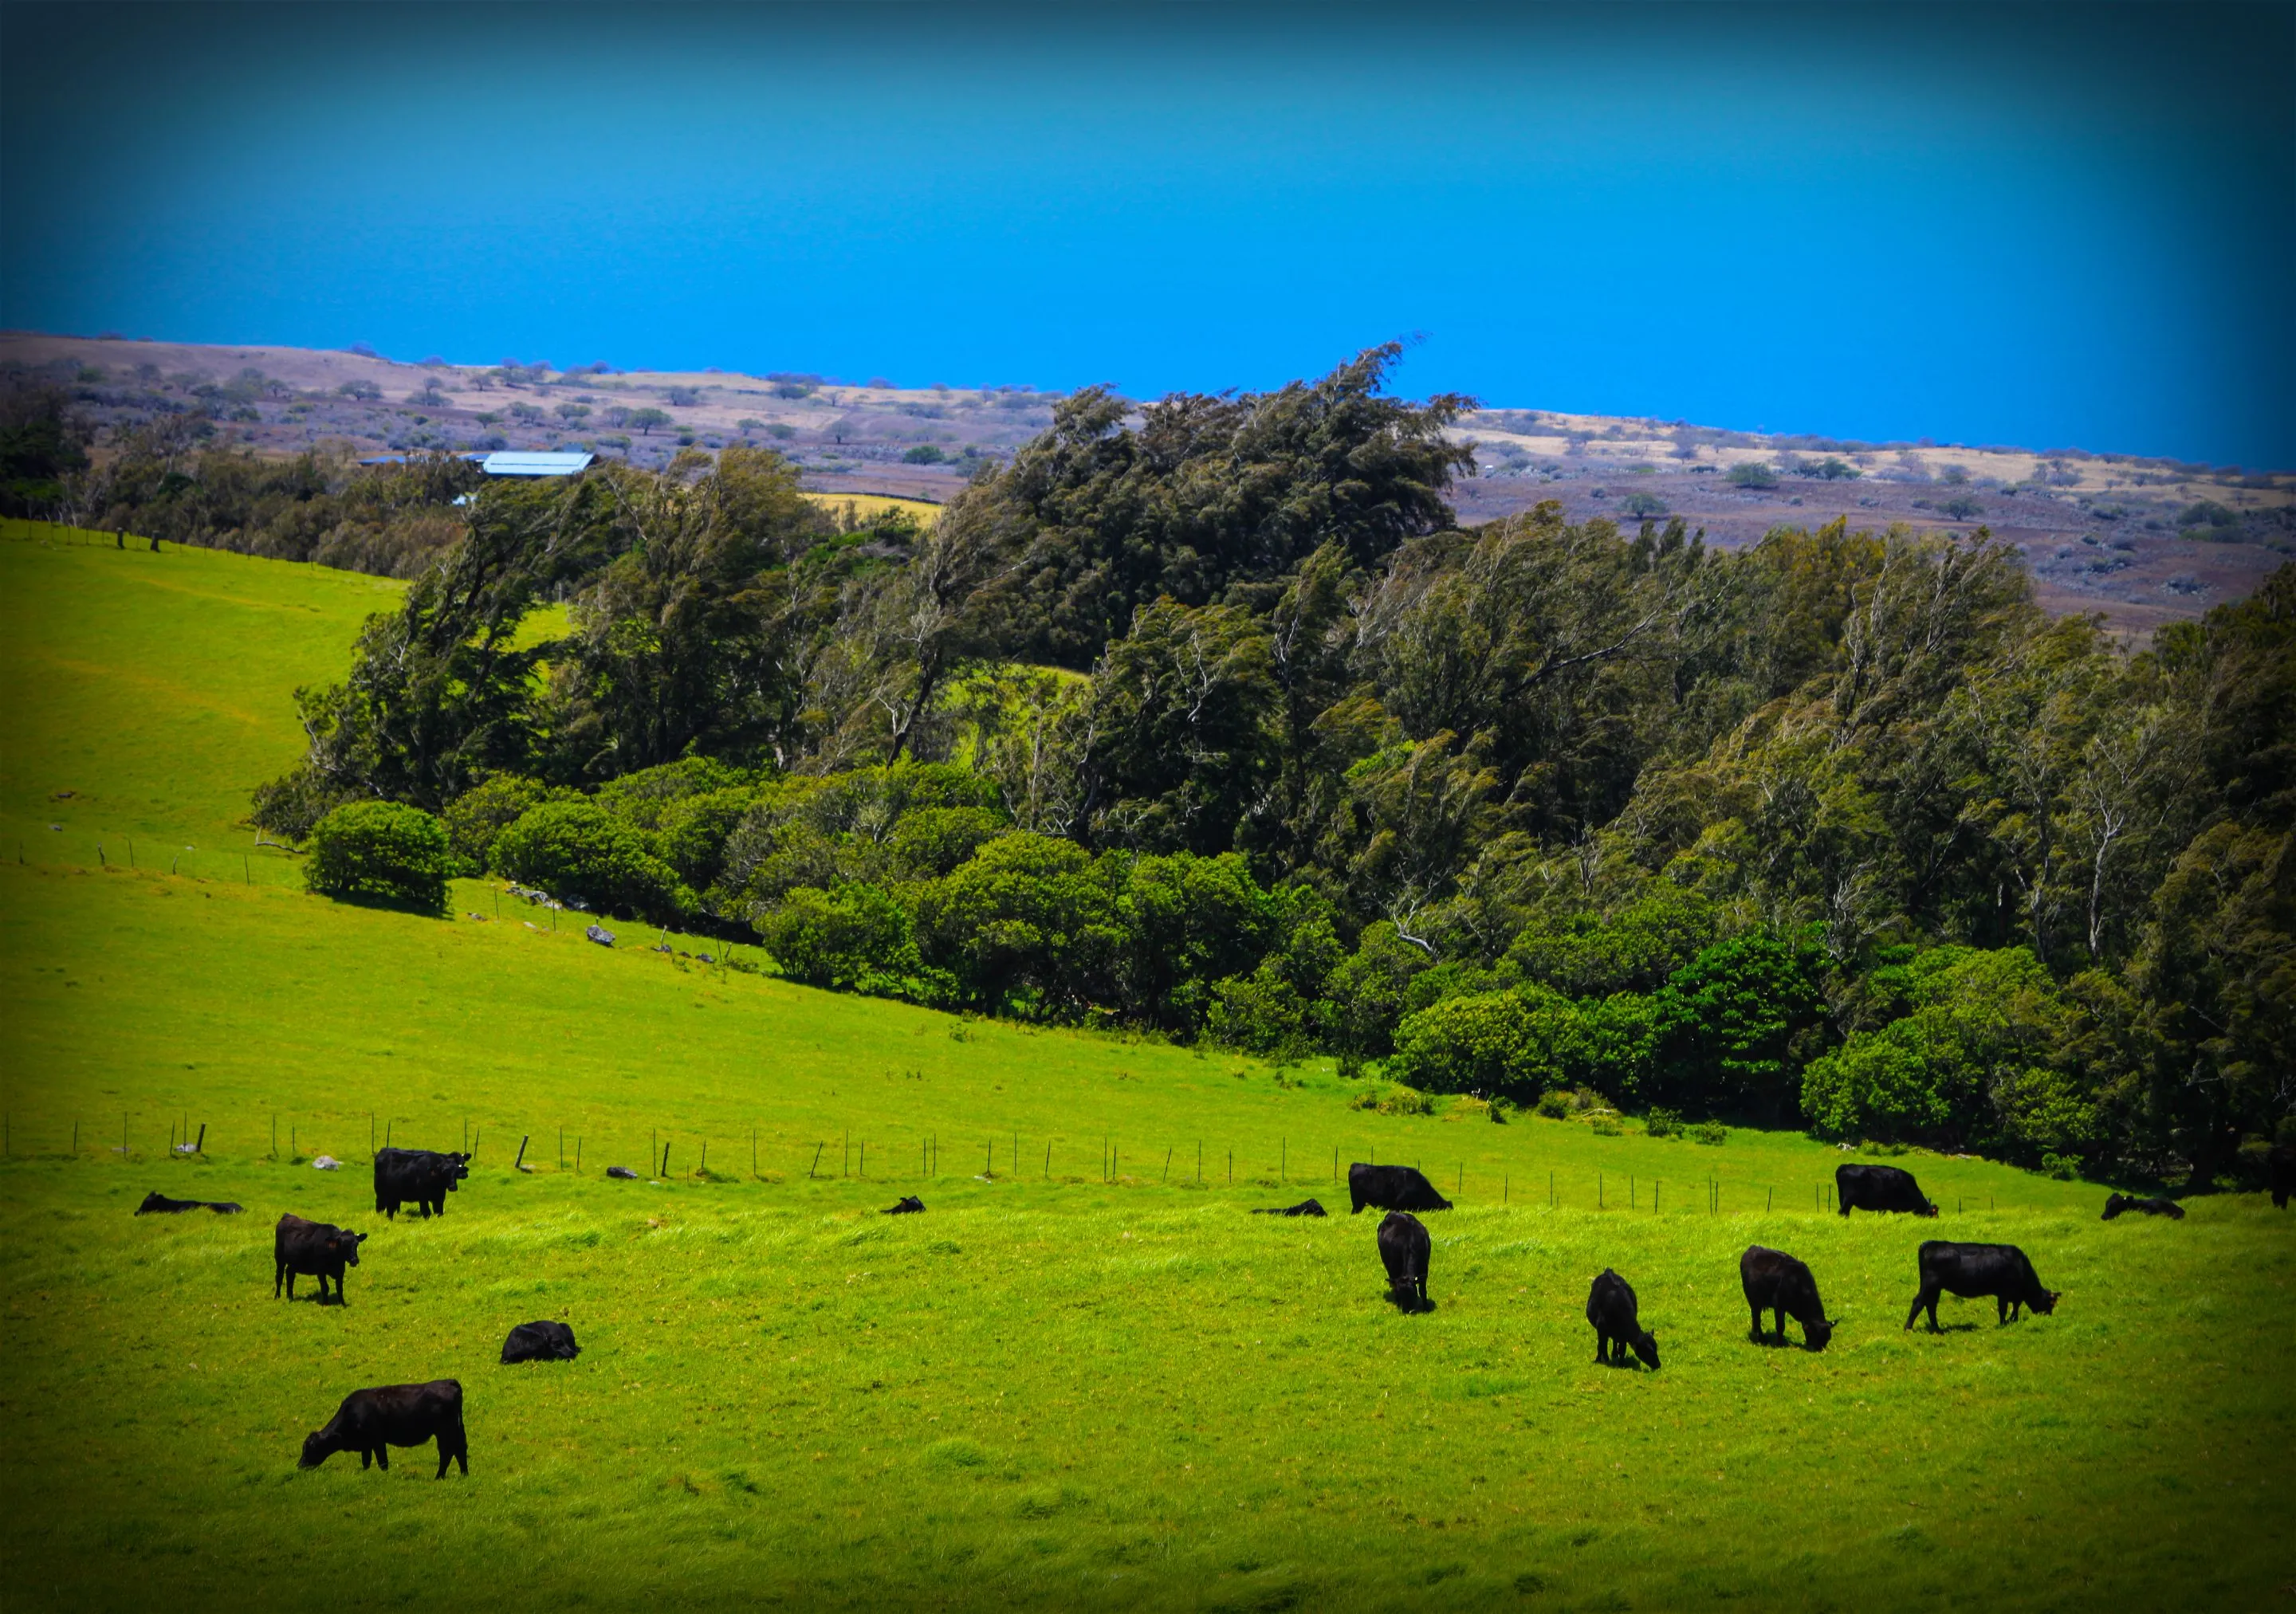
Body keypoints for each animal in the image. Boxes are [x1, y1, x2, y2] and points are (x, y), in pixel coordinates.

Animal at [300, 1381, 468, 1477]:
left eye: (310, 1448)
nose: (300, 1465)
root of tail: (450, 1382)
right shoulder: (366, 1445)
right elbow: (366, 1462)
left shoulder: (377, 1440)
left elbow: (383, 1462)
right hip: (456, 1429)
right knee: (460, 1450)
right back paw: (464, 1474)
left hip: (445, 1430)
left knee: (447, 1452)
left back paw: (439, 1477)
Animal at [1740, 1245, 1834, 1349]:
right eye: (1817, 1336)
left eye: (1828, 1339)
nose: (1820, 1349)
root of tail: (1753, 1247)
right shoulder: (1779, 1306)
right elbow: (1780, 1326)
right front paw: (1779, 1344)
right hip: (1754, 1301)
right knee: (1757, 1319)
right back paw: (1761, 1339)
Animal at [1836, 1163, 1938, 1217]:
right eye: (1934, 1212)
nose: (1937, 1219)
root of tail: (1846, 1166)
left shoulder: (1883, 1207)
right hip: (1848, 1199)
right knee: (1843, 1212)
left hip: (1842, 1198)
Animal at [1905, 1241, 2059, 1331]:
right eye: (2050, 1304)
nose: (2049, 1317)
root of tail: (1929, 1244)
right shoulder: (2003, 1293)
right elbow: (2003, 1309)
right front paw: (2003, 1324)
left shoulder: (2015, 1295)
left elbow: (2015, 1307)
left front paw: (2013, 1320)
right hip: (1930, 1285)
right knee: (1918, 1302)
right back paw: (1908, 1328)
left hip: (1935, 1288)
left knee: (1930, 1305)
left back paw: (1937, 1329)